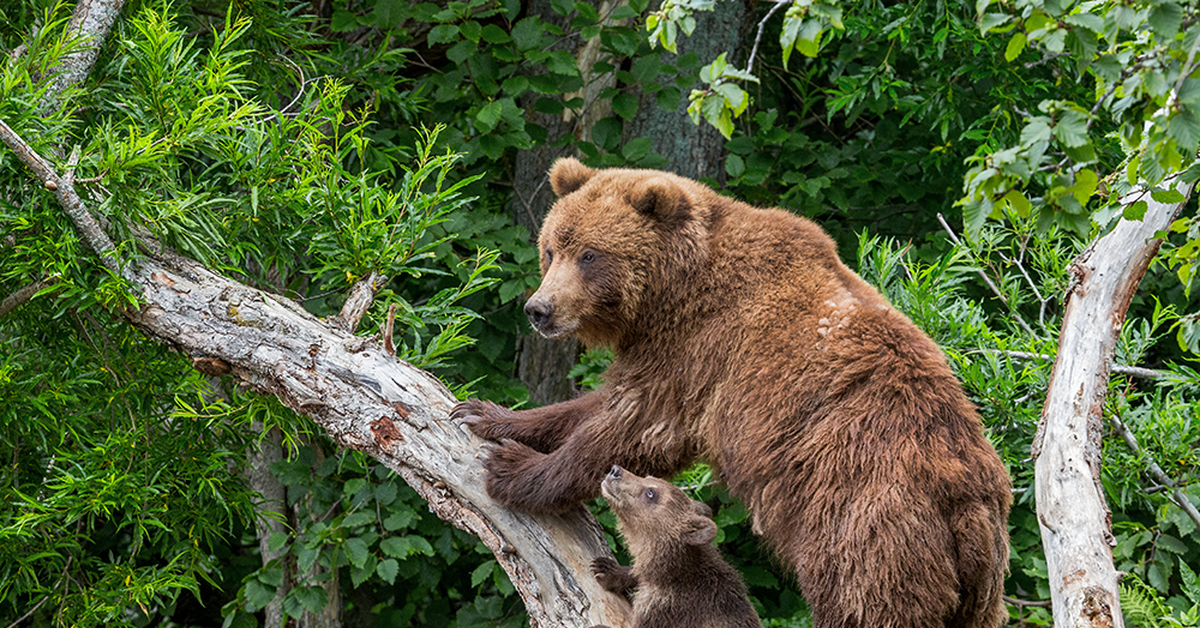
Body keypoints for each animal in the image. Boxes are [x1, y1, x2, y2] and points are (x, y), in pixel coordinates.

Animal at [451, 158, 1012, 628]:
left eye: (591, 254)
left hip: (866, 528)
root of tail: (971, 505)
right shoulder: (665, 352)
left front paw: (513, 469)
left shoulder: (704, 351)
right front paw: (483, 413)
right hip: (977, 592)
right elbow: (592, 405)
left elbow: (634, 426)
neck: (670, 294)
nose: (539, 309)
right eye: (552, 248)